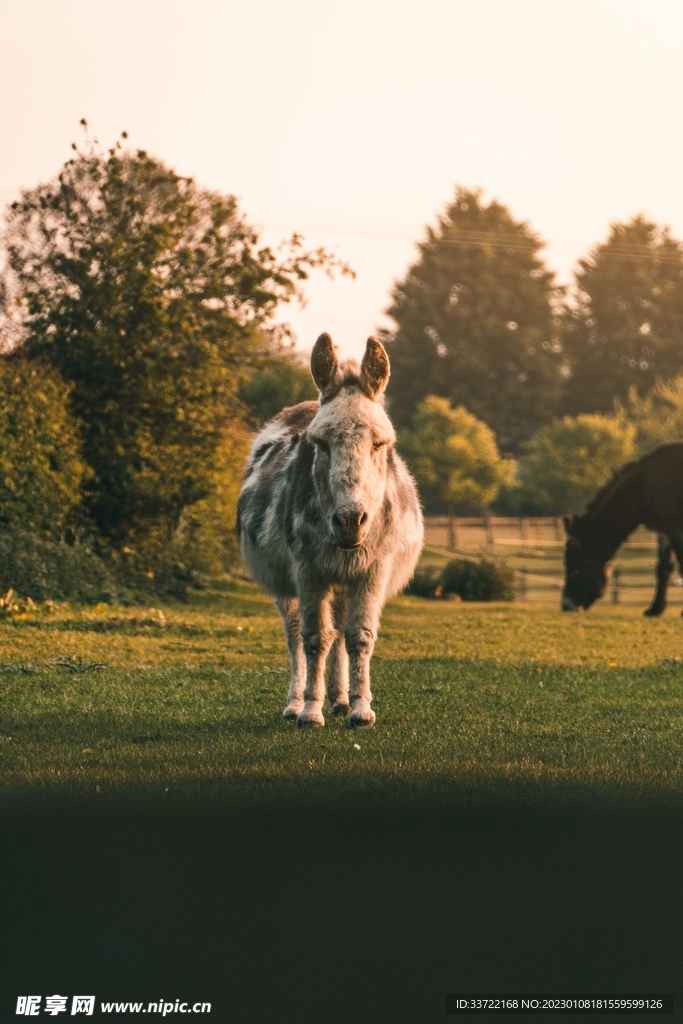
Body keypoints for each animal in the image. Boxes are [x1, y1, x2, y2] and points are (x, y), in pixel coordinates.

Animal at [237, 333, 424, 727]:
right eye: (319, 444)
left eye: (380, 443)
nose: (350, 521)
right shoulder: (307, 570)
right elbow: (314, 638)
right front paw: (310, 710)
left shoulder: (372, 570)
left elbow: (359, 637)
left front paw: (361, 708)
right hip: (287, 583)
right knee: (296, 636)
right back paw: (297, 704)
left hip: (343, 579)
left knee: (339, 630)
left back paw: (339, 700)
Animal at [561, 443, 683, 615]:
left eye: (575, 565)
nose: (566, 606)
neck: (643, 486)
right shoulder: (664, 531)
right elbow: (663, 568)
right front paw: (655, 610)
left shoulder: (675, 529)